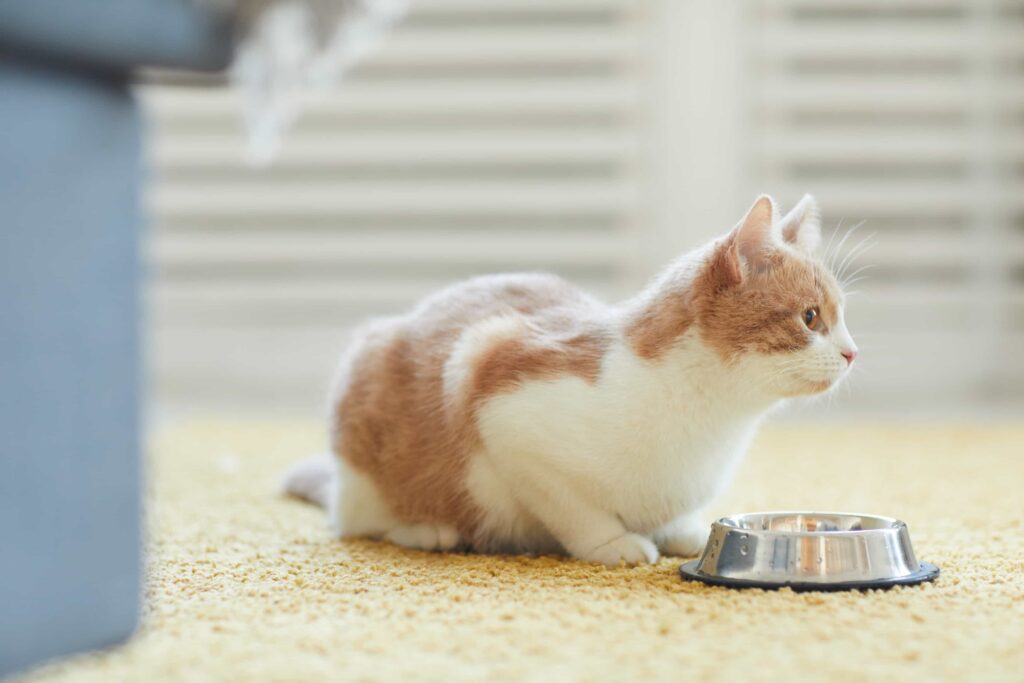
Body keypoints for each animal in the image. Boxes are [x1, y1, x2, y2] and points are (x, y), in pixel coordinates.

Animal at [284, 193, 860, 565]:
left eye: (841, 317)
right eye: (811, 318)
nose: (853, 353)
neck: (713, 423)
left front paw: (679, 531)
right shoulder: (495, 389)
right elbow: (573, 508)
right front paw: (614, 544)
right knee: (359, 520)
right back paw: (429, 529)